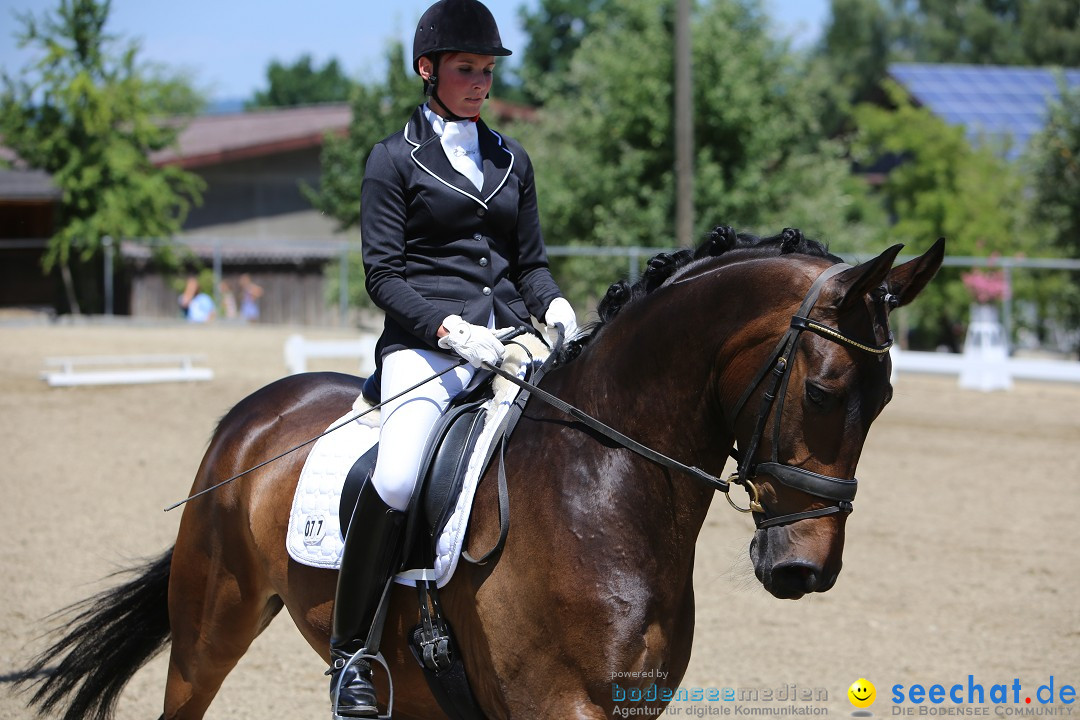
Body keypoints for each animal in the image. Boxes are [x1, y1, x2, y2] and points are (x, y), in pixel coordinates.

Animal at [16, 226, 946, 720]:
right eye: (825, 390)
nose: (804, 570)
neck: (604, 486)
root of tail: (253, 417)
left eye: (886, 399)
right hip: (211, 628)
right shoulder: (558, 705)